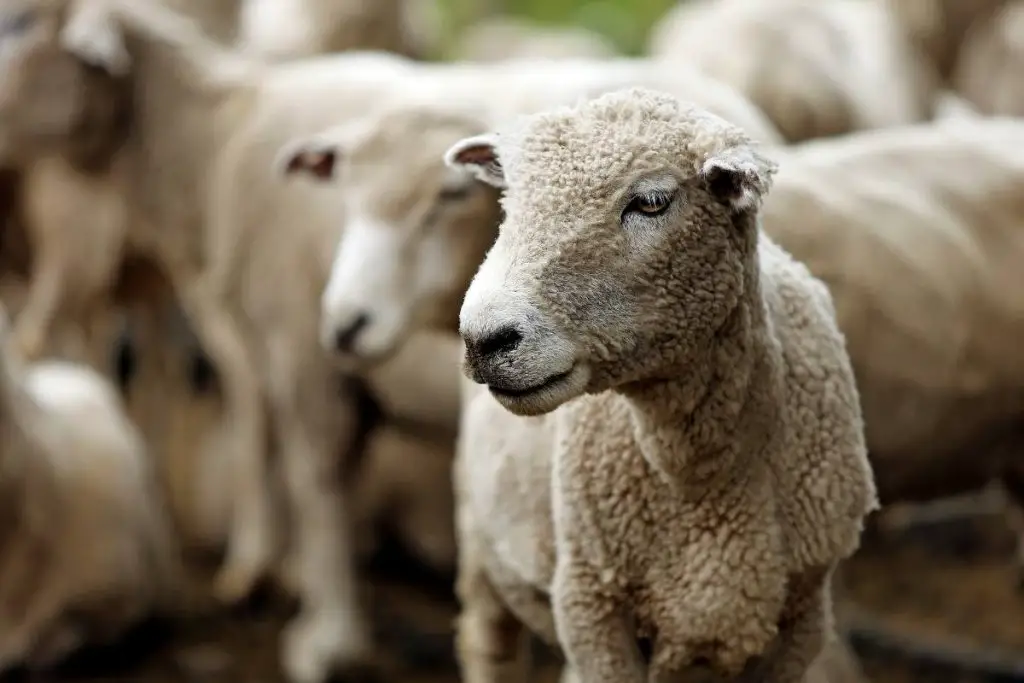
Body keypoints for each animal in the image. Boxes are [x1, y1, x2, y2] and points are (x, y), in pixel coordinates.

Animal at [444, 87, 876, 683]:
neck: (700, 475)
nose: (486, 338)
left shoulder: (803, 616)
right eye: (509, 200)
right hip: (480, 539)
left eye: (651, 202)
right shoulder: (590, 605)